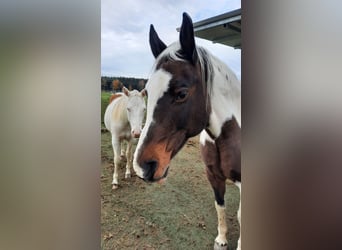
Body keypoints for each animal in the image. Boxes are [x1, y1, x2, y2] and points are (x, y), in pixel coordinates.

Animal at [132, 13, 242, 248]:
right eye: (148, 92)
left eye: (181, 93)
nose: (142, 167)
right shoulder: (213, 175)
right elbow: (220, 204)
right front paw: (221, 240)